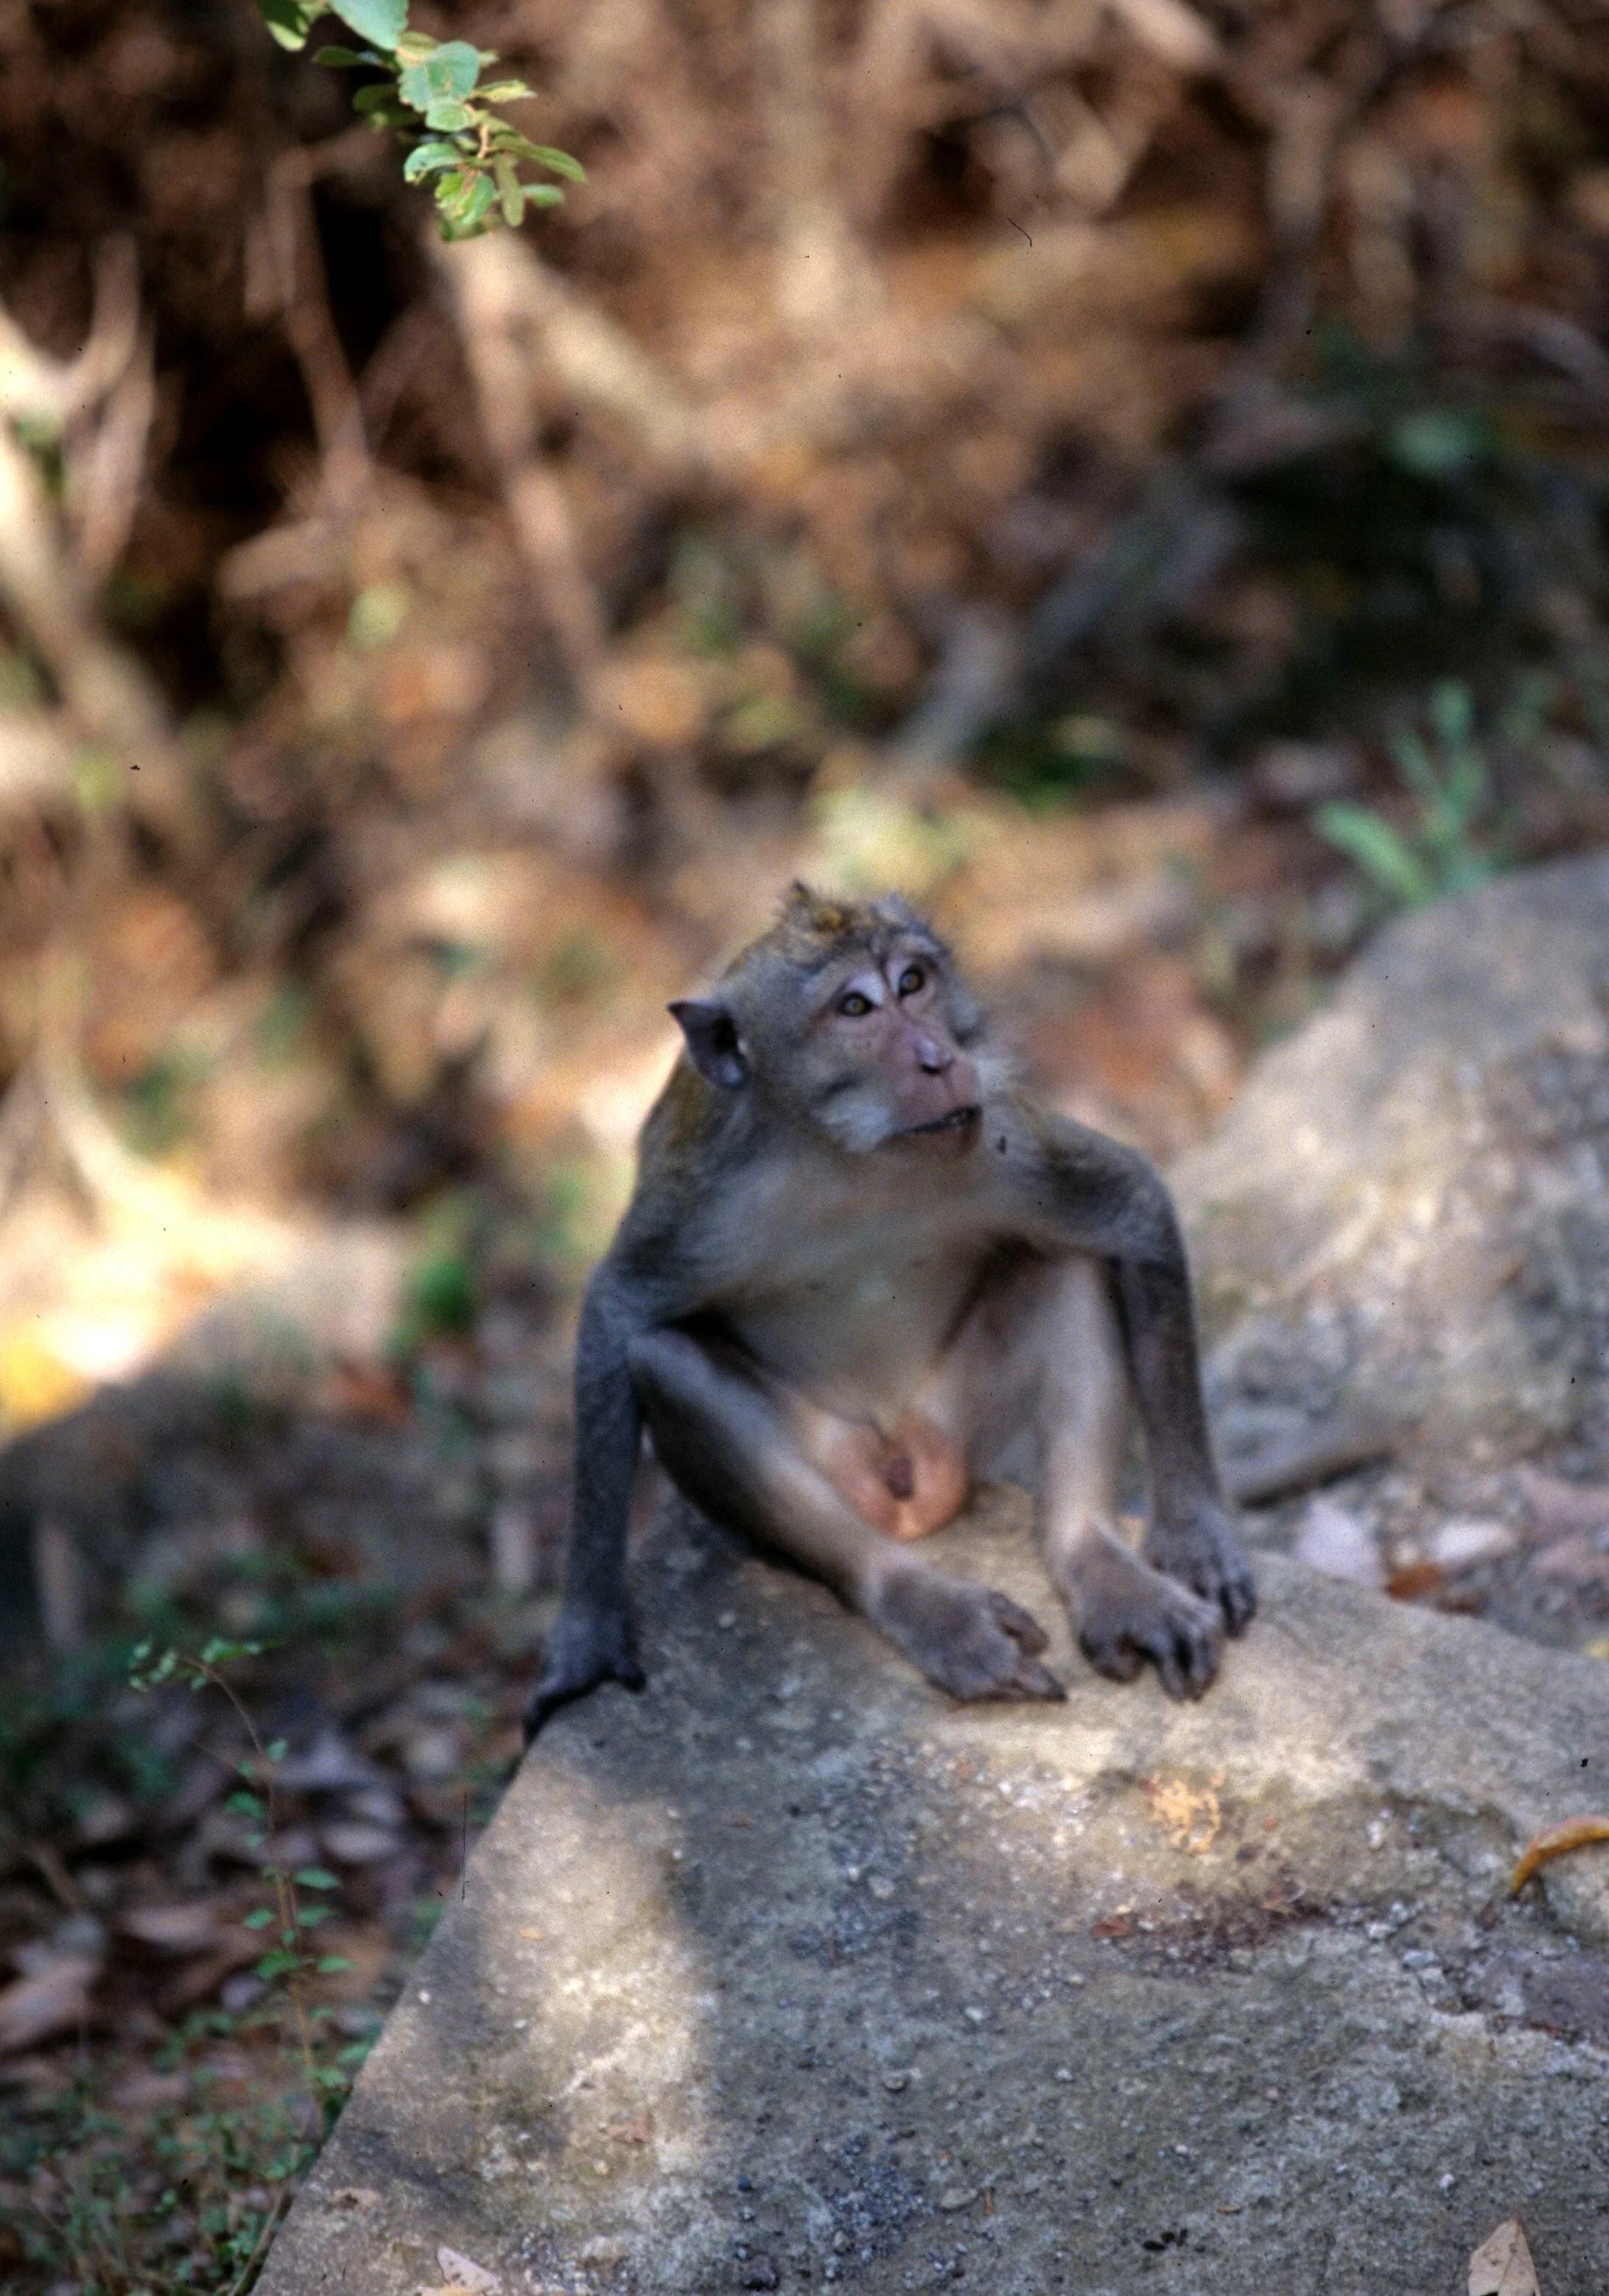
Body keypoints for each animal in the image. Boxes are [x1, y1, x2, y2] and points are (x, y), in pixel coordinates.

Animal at [525, 885, 1254, 1740]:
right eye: (854, 1007)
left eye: (913, 983)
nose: (938, 1057)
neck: (851, 1157)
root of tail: (914, 1473)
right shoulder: (702, 1207)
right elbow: (615, 1313)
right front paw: (586, 1639)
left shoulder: (1000, 1137)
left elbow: (1130, 1207)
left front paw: (1193, 1534)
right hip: (850, 1467)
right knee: (668, 1363)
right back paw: (926, 1605)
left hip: (959, 1424)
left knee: (1067, 1264)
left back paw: (1100, 1565)